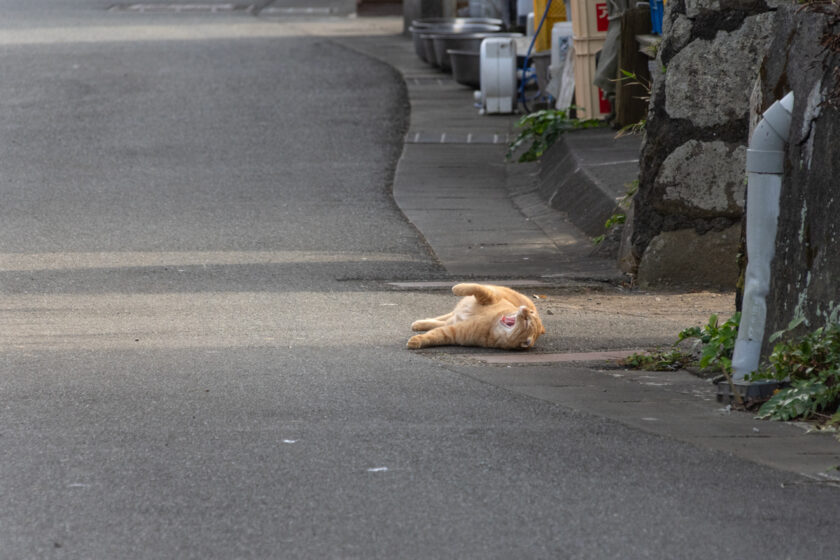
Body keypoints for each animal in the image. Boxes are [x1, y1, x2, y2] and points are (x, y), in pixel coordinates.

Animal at [406, 284, 544, 350]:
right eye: (531, 313)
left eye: (527, 322)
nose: (525, 310)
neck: (493, 323)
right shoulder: (490, 296)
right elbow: (474, 287)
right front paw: (456, 288)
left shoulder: (453, 332)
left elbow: (434, 335)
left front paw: (416, 341)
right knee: (446, 316)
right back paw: (420, 323)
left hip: (454, 320)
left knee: (445, 321)